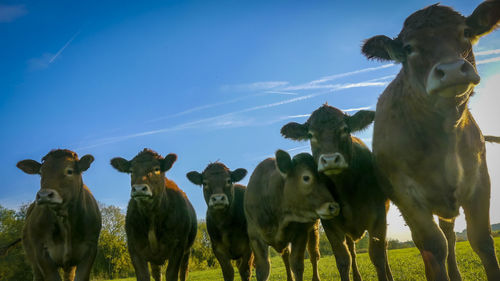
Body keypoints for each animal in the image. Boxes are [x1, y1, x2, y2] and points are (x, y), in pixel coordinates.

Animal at [16, 149, 101, 280]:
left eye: (69, 171)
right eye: (41, 172)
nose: (44, 195)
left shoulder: (90, 248)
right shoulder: (40, 251)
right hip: (32, 259)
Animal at [111, 149, 197, 280]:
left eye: (156, 169)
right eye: (131, 171)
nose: (139, 189)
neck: (151, 215)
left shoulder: (178, 246)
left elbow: (171, 274)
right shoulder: (134, 248)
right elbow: (144, 276)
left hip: (187, 251)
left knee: (183, 272)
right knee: (157, 273)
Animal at [243, 150, 338, 278]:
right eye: (306, 177)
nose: (334, 207)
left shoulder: (301, 233)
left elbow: (297, 265)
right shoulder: (255, 238)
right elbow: (263, 270)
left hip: (314, 229)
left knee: (314, 255)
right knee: (286, 256)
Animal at [282, 104, 394, 278]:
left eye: (345, 129)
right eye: (310, 134)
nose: (329, 160)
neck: (346, 188)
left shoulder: (378, 217)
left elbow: (378, 257)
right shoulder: (331, 224)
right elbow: (343, 260)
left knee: (384, 249)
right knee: (352, 251)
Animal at [362, 1, 500, 278]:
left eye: (466, 32)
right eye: (408, 48)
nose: (451, 70)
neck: (444, 134)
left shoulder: (480, 179)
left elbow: (481, 240)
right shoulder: (406, 195)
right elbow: (433, 246)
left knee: (450, 234)